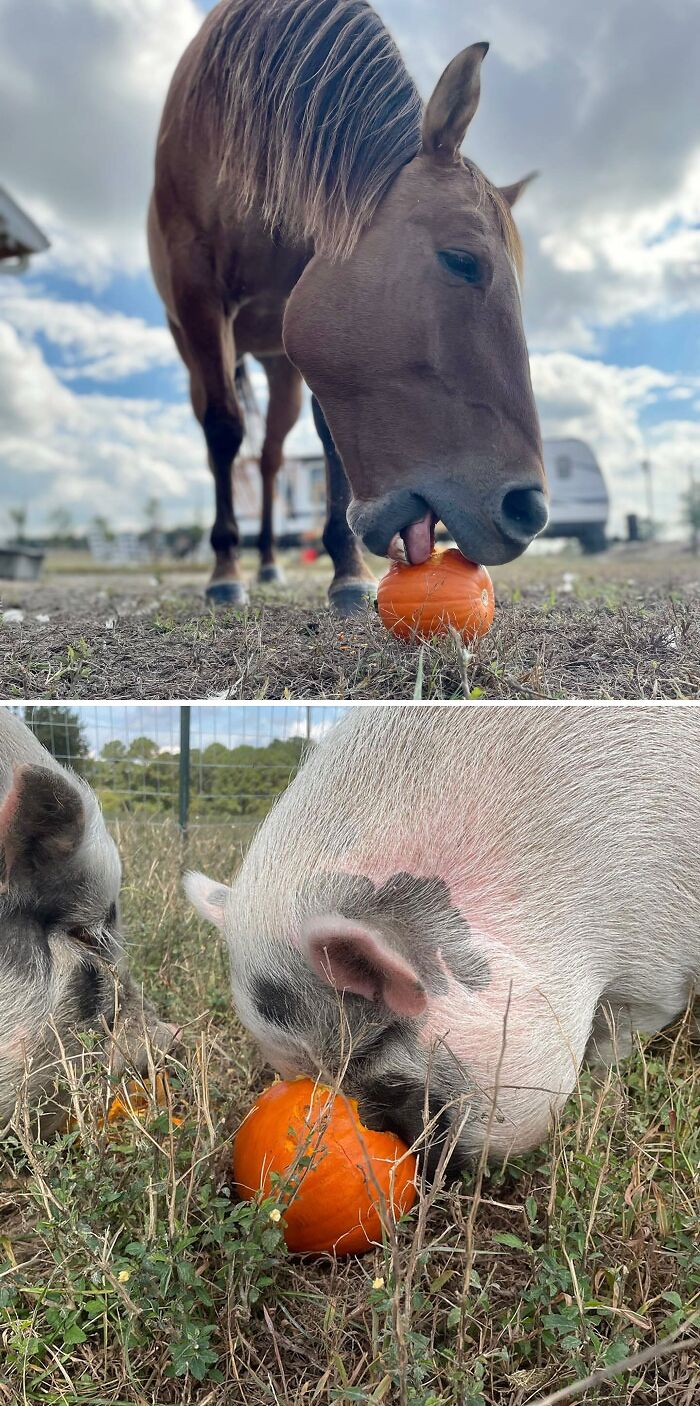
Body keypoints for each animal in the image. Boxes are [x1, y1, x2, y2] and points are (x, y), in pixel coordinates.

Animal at [149, 0, 547, 612]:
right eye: (462, 261)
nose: (528, 509)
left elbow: (326, 438)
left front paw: (347, 572)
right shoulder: (199, 295)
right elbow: (223, 430)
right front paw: (224, 571)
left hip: (280, 365)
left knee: (271, 459)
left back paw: (270, 562)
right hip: (198, 345)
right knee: (226, 440)